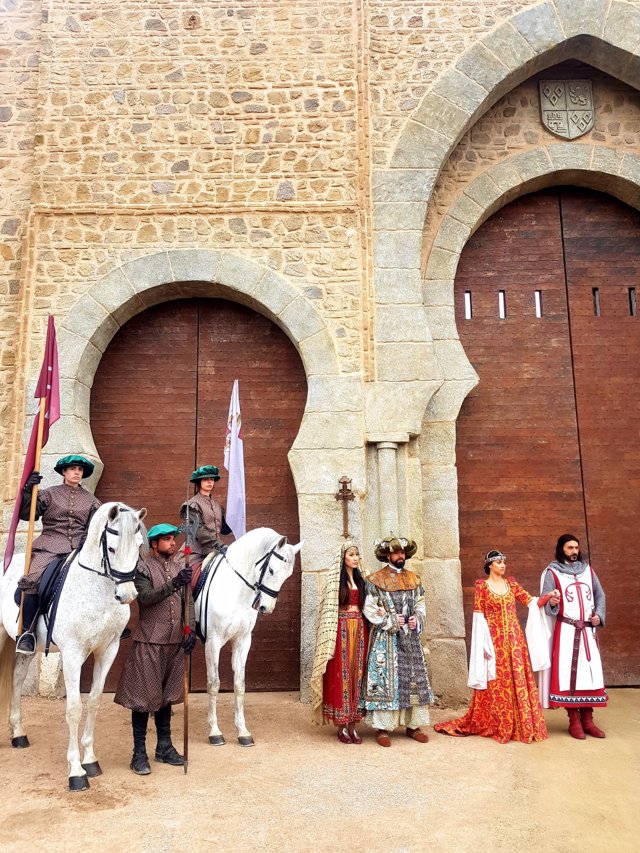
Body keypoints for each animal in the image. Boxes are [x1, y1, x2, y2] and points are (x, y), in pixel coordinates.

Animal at [0, 502, 146, 788]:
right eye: (112, 548)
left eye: (139, 545)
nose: (127, 596)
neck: (96, 590)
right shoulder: (72, 655)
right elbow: (74, 708)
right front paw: (76, 771)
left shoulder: (107, 650)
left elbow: (94, 701)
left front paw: (90, 760)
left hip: (26, 647)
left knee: (17, 679)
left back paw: (18, 733)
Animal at [198, 524, 302, 744]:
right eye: (271, 569)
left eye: (288, 575)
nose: (265, 608)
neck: (235, 590)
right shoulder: (212, 642)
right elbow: (214, 683)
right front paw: (215, 731)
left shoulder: (242, 641)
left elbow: (239, 684)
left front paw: (243, 731)